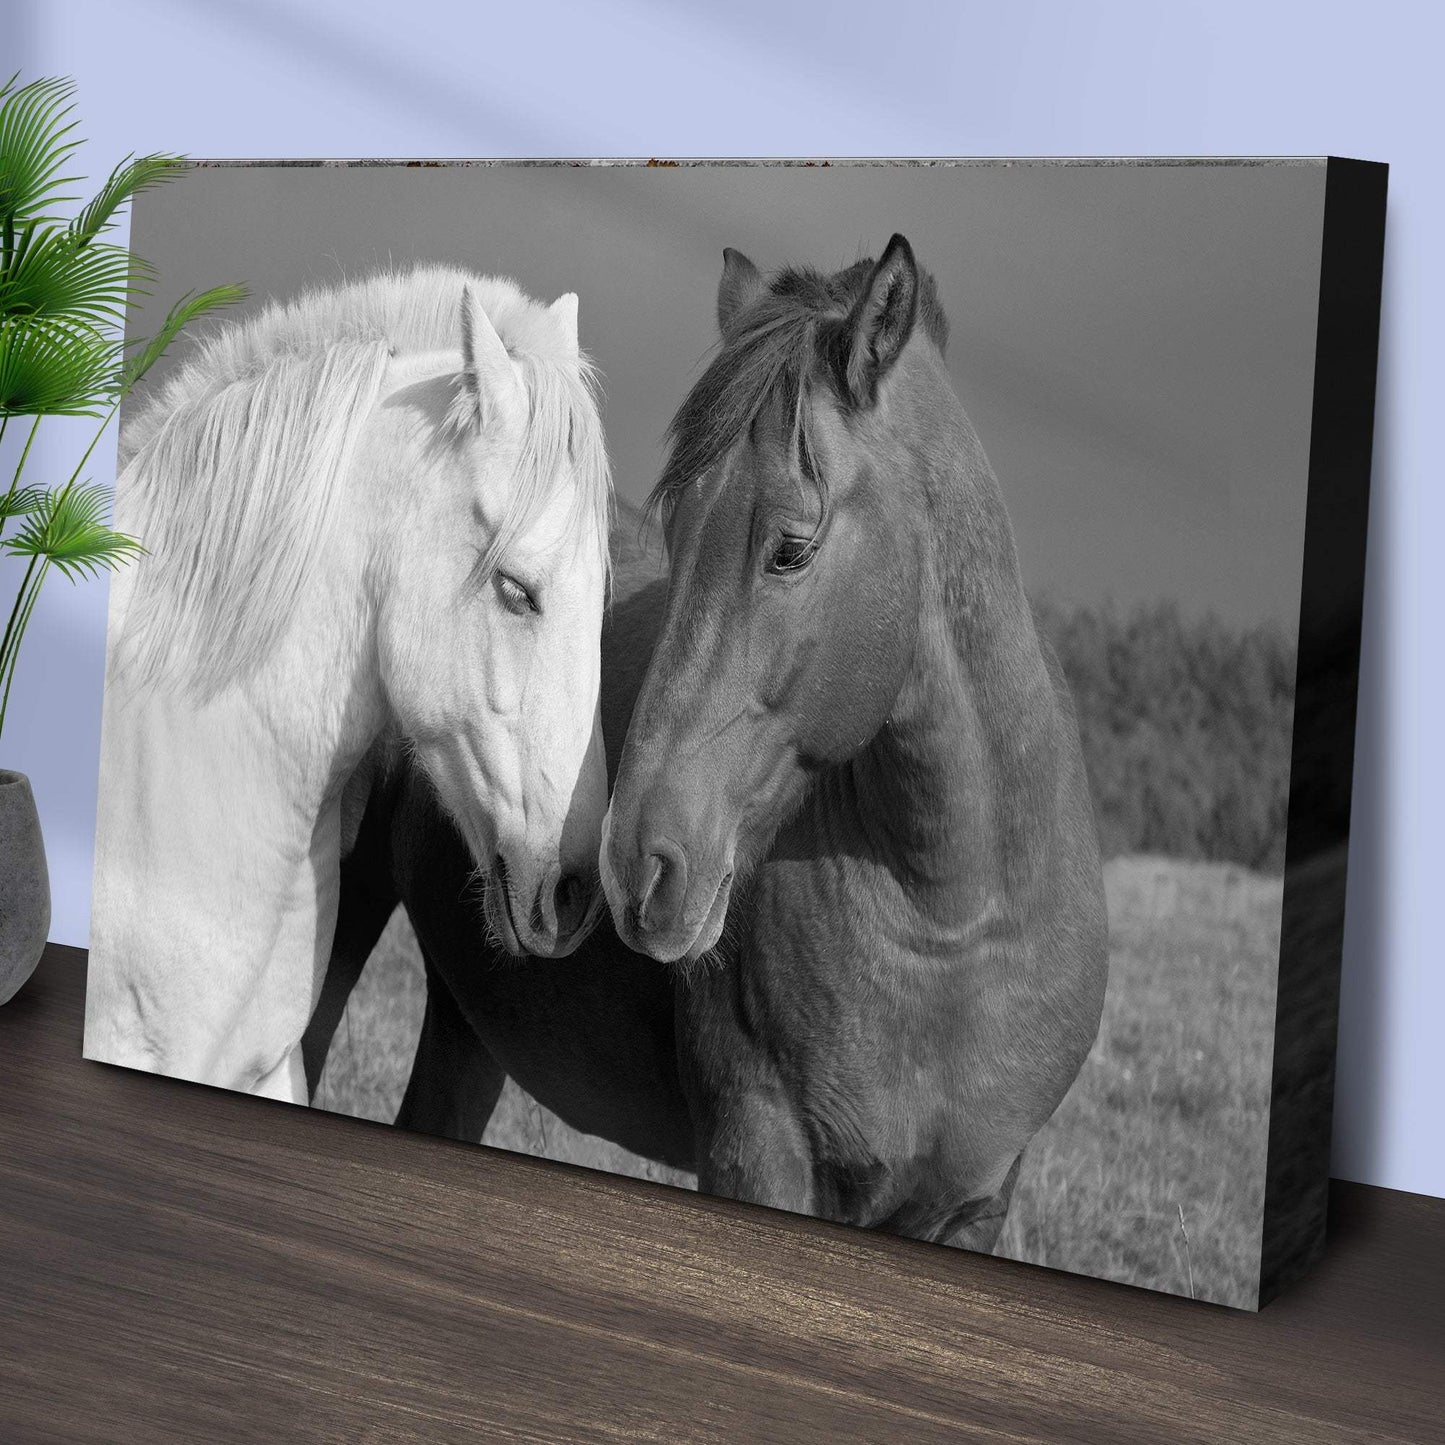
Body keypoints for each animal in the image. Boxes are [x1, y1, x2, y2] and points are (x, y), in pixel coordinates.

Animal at [600, 237, 1109, 1251]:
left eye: (791, 548)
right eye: (674, 529)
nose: (636, 862)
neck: (954, 925)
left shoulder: (974, 1204)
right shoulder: (758, 1150)